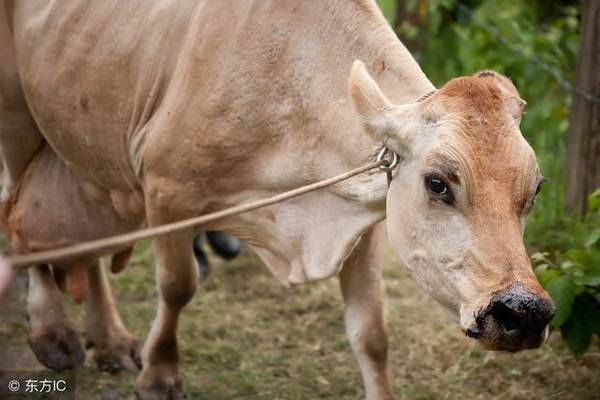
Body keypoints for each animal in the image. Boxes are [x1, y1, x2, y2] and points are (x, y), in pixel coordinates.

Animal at [0, 0, 556, 400]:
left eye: (535, 189)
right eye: (437, 182)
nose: (524, 312)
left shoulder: (365, 219)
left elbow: (371, 333)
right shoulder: (167, 189)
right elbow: (177, 286)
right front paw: (160, 377)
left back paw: (110, 339)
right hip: (17, 116)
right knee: (18, 221)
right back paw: (52, 332)